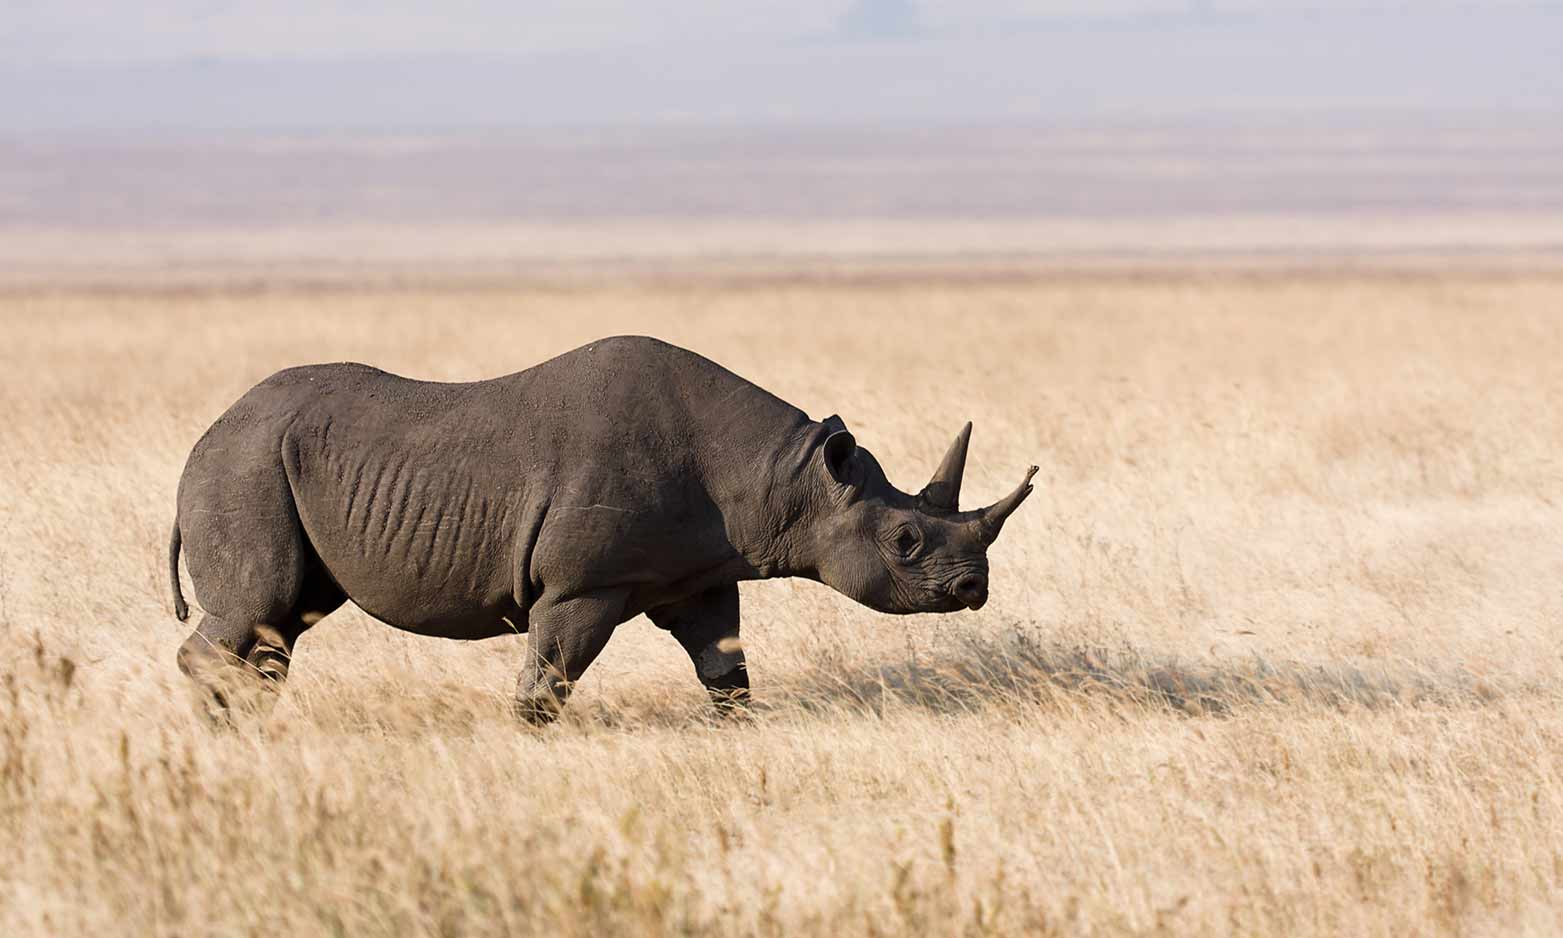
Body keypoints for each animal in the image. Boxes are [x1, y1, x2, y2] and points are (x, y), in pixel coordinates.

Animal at [169, 335, 1035, 722]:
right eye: (904, 543)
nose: (974, 588)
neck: (786, 478)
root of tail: (203, 436)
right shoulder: (584, 583)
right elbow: (549, 678)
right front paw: (528, 739)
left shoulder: (698, 572)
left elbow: (725, 666)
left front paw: (736, 730)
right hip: (245, 465)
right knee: (262, 603)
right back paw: (225, 725)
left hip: (264, 463)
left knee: (285, 620)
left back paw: (249, 722)